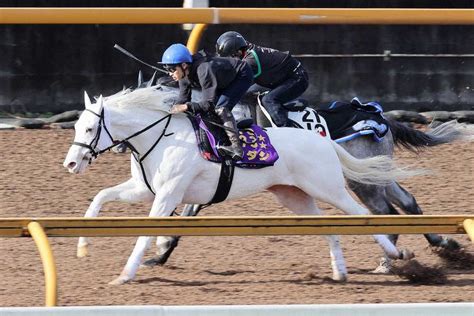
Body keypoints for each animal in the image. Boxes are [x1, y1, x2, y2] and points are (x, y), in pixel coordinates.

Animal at [64, 85, 418, 286]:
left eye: (91, 128)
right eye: (78, 125)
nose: (71, 163)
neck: (163, 137)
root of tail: (324, 140)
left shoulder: (168, 194)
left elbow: (146, 234)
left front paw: (126, 274)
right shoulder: (144, 188)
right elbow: (99, 197)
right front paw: (82, 246)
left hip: (329, 187)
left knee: (366, 214)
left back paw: (395, 255)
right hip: (294, 196)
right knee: (331, 226)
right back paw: (340, 272)